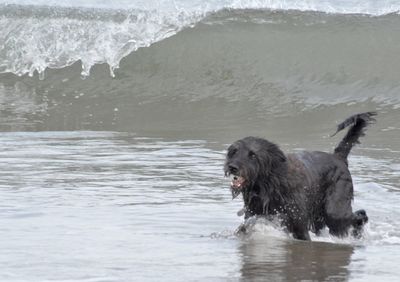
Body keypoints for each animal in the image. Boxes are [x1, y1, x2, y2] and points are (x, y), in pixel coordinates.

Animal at [225, 112, 376, 240]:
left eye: (253, 155)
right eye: (234, 151)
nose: (232, 167)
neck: (271, 182)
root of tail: (338, 157)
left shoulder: (298, 224)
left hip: (335, 210)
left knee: (360, 216)